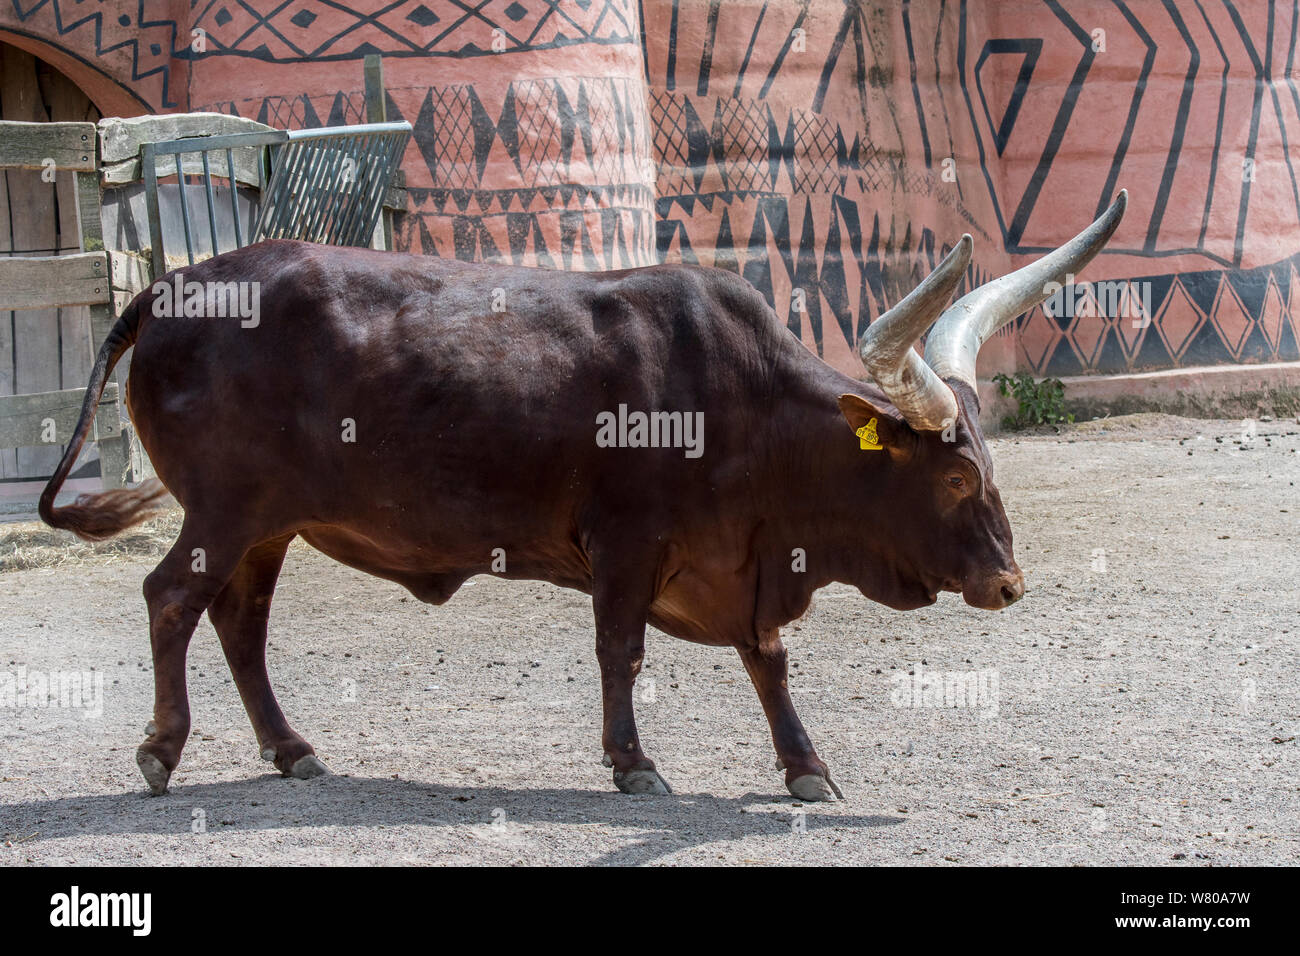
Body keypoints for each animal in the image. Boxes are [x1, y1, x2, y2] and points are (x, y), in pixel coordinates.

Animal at [35, 188, 1123, 801]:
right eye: (953, 473)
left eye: (989, 465)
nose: (1009, 582)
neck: (743, 400)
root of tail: (170, 287)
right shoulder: (627, 544)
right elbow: (622, 651)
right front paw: (632, 762)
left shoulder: (740, 561)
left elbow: (768, 660)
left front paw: (804, 766)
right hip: (224, 511)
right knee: (172, 599)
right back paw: (162, 751)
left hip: (271, 525)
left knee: (239, 624)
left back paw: (291, 747)